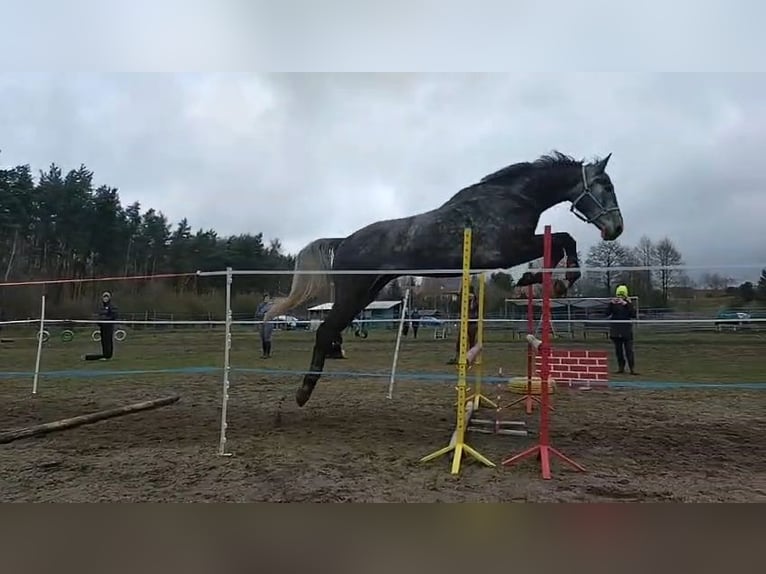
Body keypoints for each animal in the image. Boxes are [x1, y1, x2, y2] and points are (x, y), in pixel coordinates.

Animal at [265, 151, 624, 407]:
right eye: (606, 186)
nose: (615, 228)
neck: (515, 197)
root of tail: (343, 241)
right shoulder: (509, 249)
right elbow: (564, 239)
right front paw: (559, 279)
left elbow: (559, 243)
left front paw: (539, 280)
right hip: (354, 293)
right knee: (325, 331)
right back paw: (303, 391)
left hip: (367, 292)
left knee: (331, 331)